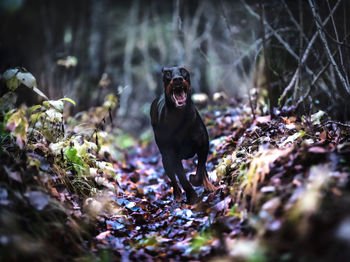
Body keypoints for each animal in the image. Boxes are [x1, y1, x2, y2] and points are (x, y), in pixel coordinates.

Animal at [150, 66, 216, 205]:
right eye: (168, 73)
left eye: (183, 71)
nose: (177, 79)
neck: (181, 117)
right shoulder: (173, 155)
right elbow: (182, 178)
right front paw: (192, 197)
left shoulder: (203, 146)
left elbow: (200, 170)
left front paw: (197, 180)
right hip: (165, 159)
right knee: (173, 180)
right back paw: (177, 196)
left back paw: (209, 186)